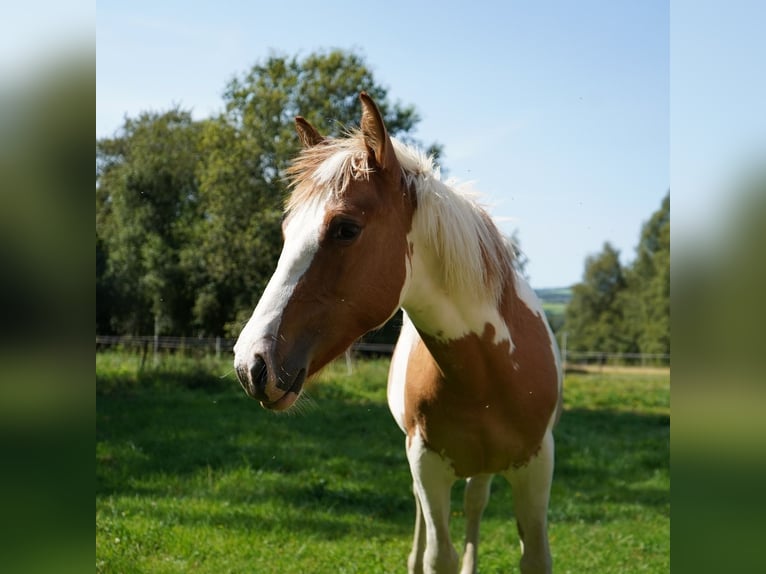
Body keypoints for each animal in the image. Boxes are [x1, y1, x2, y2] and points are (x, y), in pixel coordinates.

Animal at [234, 92, 564, 572]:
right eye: (285, 231)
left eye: (345, 229)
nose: (251, 365)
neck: (488, 374)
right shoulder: (427, 464)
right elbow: (437, 556)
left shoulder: (537, 468)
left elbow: (532, 555)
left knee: (476, 503)